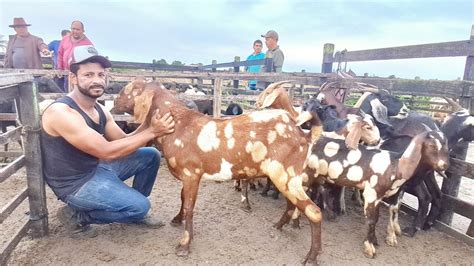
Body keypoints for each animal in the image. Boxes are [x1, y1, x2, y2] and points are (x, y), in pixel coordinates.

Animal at [274, 130, 448, 258]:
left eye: (447, 147)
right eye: (432, 146)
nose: (445, 165)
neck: (395, 164)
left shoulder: (393, 194)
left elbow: (390, 213)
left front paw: (383, 240)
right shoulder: (372, 193)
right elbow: (372, 220)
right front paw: (369, 247)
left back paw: (295, 221)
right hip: (304, 174)